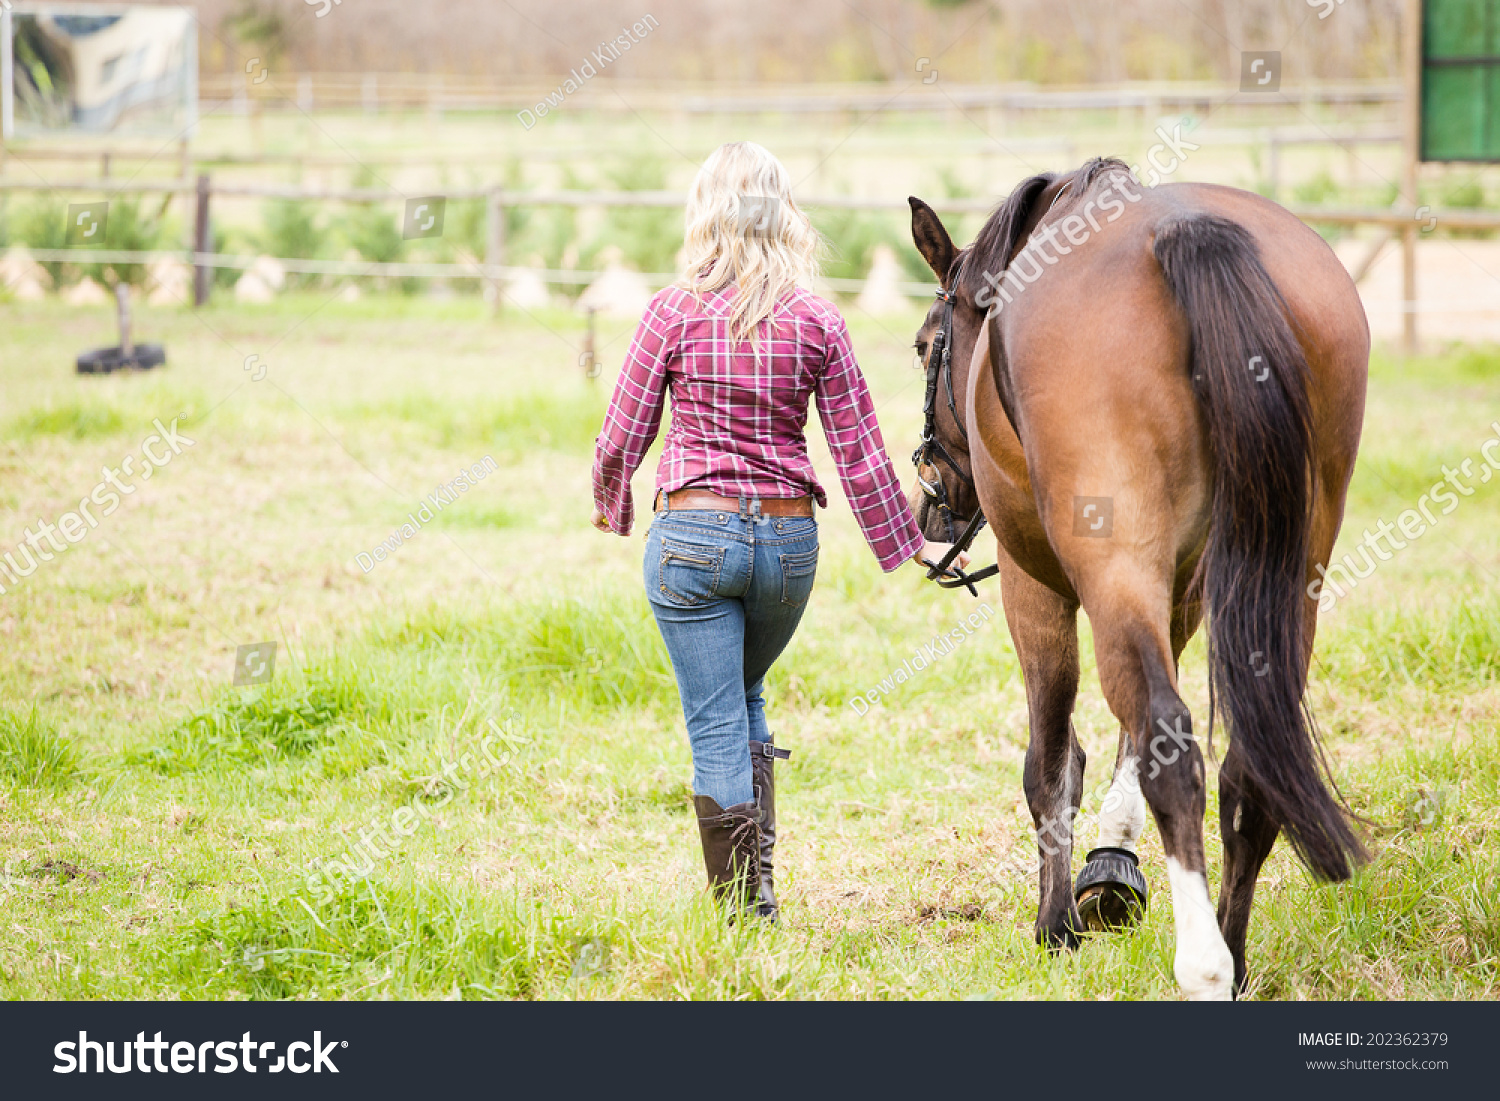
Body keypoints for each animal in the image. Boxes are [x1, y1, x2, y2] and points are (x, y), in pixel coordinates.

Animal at [900, 159, 1374, 1002]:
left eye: (927, 347)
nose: (931, 505)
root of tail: (1189, 230)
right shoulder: (1179, 587)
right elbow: (1127, 745)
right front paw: (1111, 872)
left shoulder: (1040, 588)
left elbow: (1055, 761)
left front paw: (1057, 923)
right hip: (1289, 571)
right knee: (1246, 762)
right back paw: (1233, 957)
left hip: (1109, 568)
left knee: (1170, 741)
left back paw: (1205, 965)